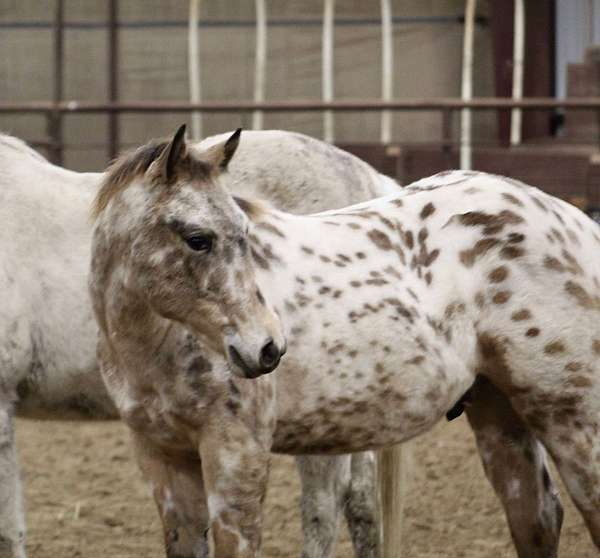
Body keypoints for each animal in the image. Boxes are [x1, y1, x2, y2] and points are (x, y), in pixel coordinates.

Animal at [0, 132, 404, 558]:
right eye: (198, 240)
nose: (268, 348)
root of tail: (368, 178)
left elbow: (9, 530)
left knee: (324, 505)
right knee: (361, 500)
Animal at [91, 128, 600, 558]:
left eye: (244, 233)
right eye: (198, 239)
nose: (268, 348)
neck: (157, 344)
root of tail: (576, 225)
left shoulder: (236, 453)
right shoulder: (165, 461)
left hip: (570, 419)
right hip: (499, 414)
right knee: (536, 517)